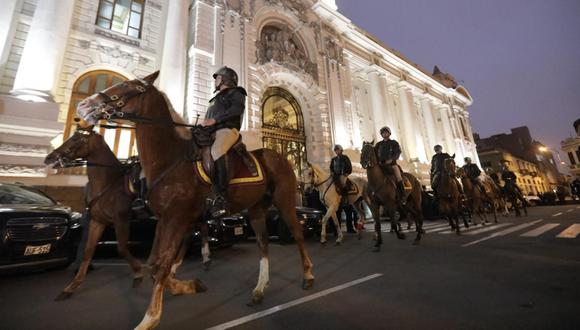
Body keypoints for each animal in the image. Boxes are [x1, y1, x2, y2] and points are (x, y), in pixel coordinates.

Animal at [77, 71, 314, 328]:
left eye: (128, 87)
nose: (84, 105)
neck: (170, 159)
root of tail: (279, 156)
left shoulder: (177, 218)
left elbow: (161, 266)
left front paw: (150, 318)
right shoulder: (165, 220)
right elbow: (154, 263)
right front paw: (186, 286)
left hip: (285, 201)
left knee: (298, 235)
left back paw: (308, 275)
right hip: (256, 209)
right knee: (263, 243)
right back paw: (259, 290)